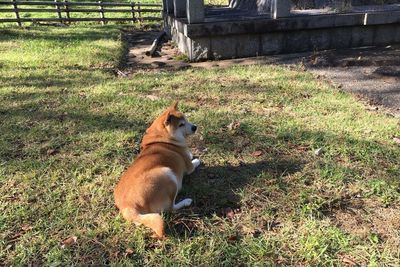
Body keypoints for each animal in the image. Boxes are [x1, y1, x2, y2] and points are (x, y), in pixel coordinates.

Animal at [112, 101, 200, 239]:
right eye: (181, 124)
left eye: (186, 119)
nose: (195, 127)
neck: (161, 138)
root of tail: (129, 206)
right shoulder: (188, 166)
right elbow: (192, 163)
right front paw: (196, 159)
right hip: (167, 175)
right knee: (171, 208)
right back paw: (186, 201)